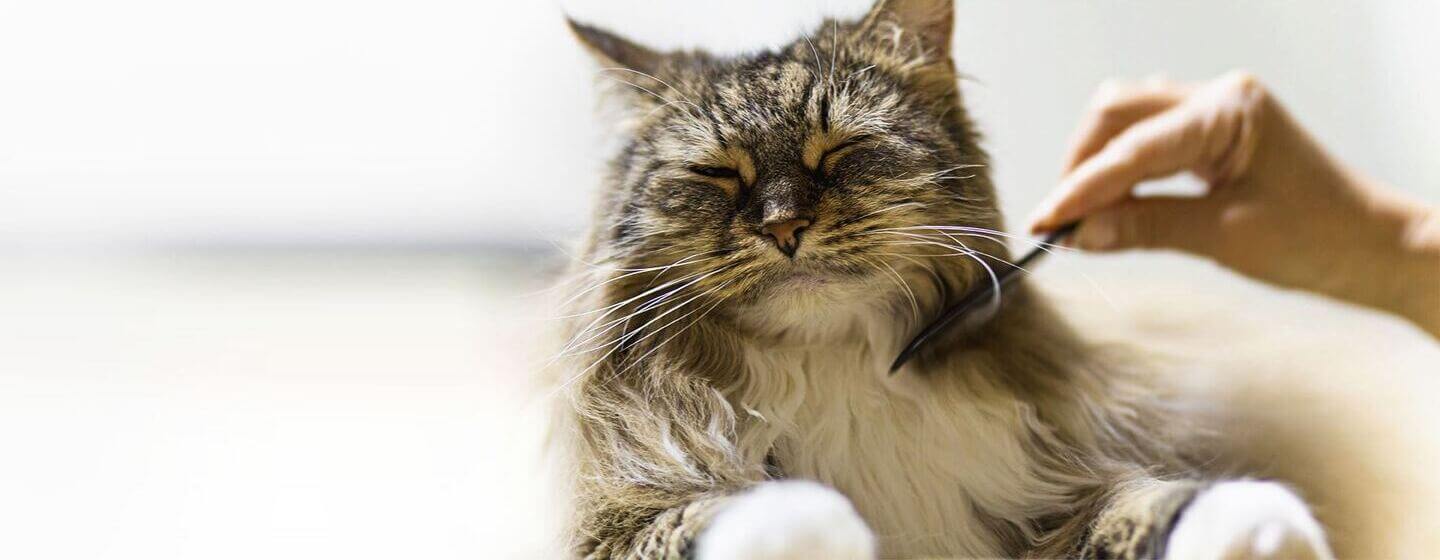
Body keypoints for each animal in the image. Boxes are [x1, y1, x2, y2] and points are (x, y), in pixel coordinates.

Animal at [544, 2, 1330, 555]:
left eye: (839, 151)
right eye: (717, 174)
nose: (783, 226)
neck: (838, 370)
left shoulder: (1043, 497)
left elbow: (1150, 504)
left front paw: (1264, 521)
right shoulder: (620, 524)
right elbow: (760, 507)